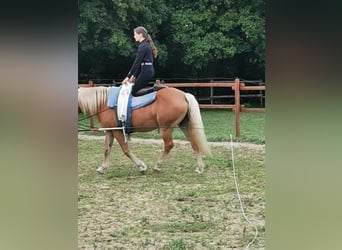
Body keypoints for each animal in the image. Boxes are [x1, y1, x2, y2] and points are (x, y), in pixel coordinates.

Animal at [78, 86, 211, 174]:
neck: (104, 102)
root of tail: (184, 95)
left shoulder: (117, 131)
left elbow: (126, 150)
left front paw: (141, 166)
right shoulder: (110, 131)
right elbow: (106, 150)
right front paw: (102, 168)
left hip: (166, 129)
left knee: (169, 145)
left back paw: (157, 166)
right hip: (184, 126)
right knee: (194, 143)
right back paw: (199, 167)